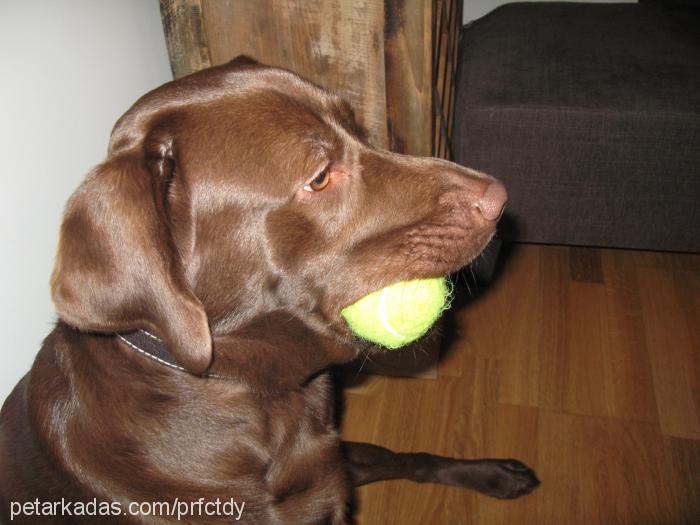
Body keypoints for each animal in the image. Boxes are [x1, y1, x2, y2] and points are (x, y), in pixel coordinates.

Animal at [0, 58, 540, 524]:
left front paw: (490, 473)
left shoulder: (333, 462)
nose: (499, 199)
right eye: (319, 178)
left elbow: (402, 455)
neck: (266, 396)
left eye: (359, 130)